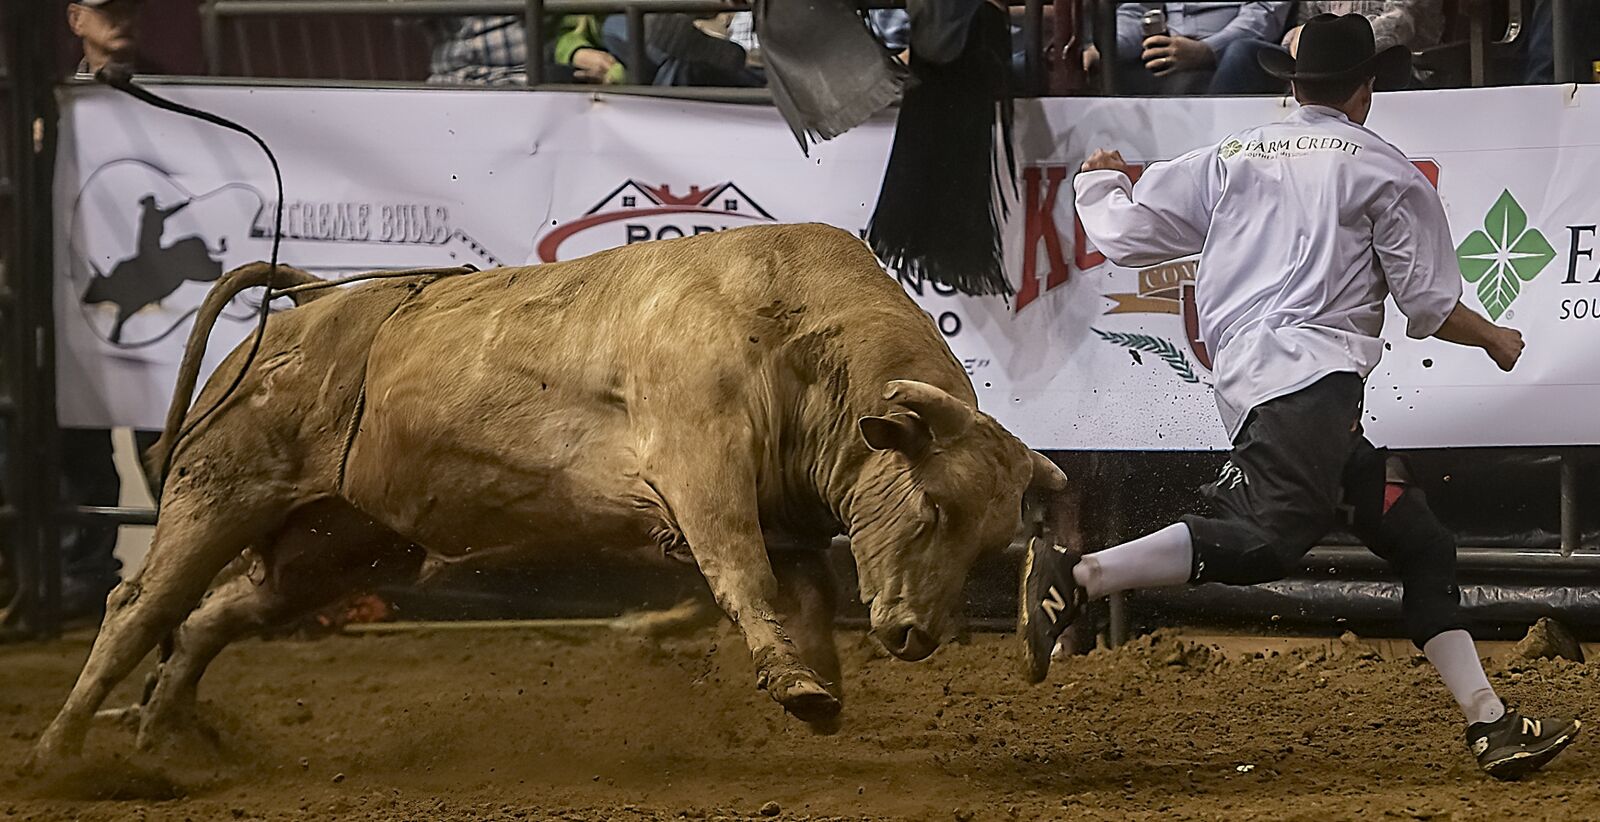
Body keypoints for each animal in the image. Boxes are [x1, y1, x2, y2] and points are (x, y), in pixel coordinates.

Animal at [28, 220, 1062, 764]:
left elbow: (800, 594)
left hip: (337, 544)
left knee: (214, 613)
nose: (918, 637)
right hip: (222, 489)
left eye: (991, 542)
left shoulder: (791, 518)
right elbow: (742, 575)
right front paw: (798, 685)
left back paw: (164, 727)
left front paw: (818, 687)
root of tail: (305, 309)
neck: (792, 332)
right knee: (139, 607)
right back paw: (60, 753)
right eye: (932, 508)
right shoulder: (703, 472)